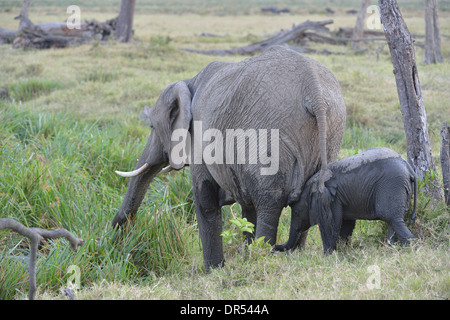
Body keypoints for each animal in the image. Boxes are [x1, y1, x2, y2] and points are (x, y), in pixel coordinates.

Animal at [112, 45, 348, 270]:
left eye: (152, 126)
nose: (116, 237)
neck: (189, 82)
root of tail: (314, 90)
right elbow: (247, 208)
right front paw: (241, 259)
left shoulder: (200, 136)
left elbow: (205, 201)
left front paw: (213, 271)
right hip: (332, 131)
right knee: (302, 199)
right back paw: (292, 255)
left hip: (270, 134)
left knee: (269, 202)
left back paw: (262, 257)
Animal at [276, 146, 416, 254]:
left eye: (296, 212)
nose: (274, 247)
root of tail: (409, 168)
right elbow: (346, 224)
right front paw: (343, 250)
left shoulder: (330, 200)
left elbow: (331, 223)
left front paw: (328, 256)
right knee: (394, 220)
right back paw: (391, 247)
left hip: (392, 185)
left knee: (392, 218)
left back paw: (409, 248)